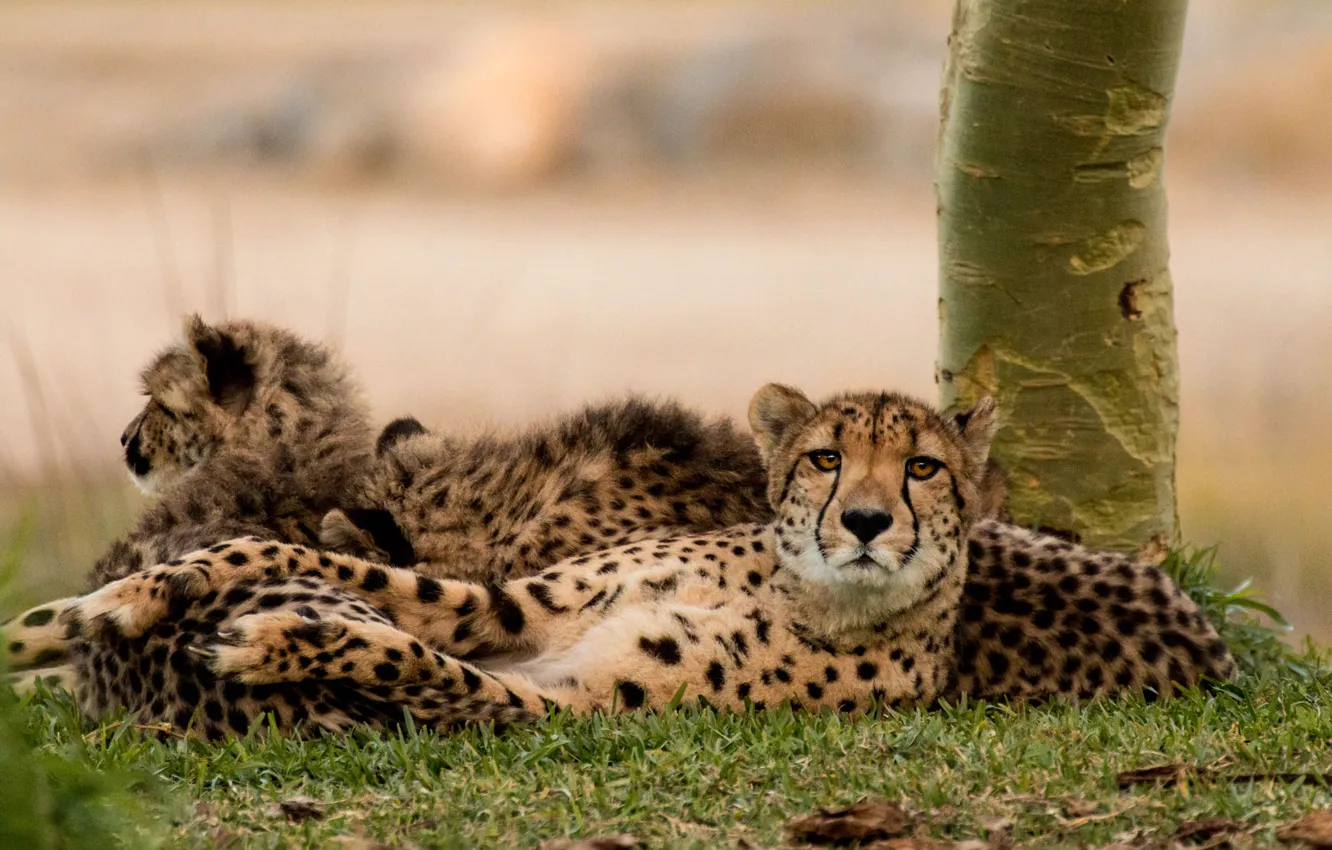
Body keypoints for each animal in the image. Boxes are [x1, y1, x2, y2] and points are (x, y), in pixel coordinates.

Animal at [46, 385, 1234, 738]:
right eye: (826, 456)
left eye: (924, 468)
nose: (862, 521)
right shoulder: (517, 608)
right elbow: (356, 579)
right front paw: (148, 589)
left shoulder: (562, 700)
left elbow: (408, 655)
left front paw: (278, 635)